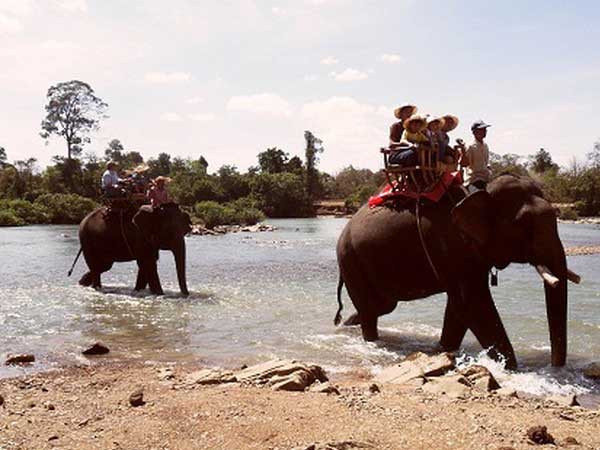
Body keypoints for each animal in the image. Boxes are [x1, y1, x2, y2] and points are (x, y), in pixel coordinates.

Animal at [335, 174, 580, 369]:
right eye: (524, 223)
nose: (555, 368)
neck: (480, 192)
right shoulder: (451, 245)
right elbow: (472, 304)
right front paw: (510, 367)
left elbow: (458, 308)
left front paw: (443, 350)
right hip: (349, 258)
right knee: (371, 309)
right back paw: (368, 339)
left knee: (382, 305)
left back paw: (345, 325)